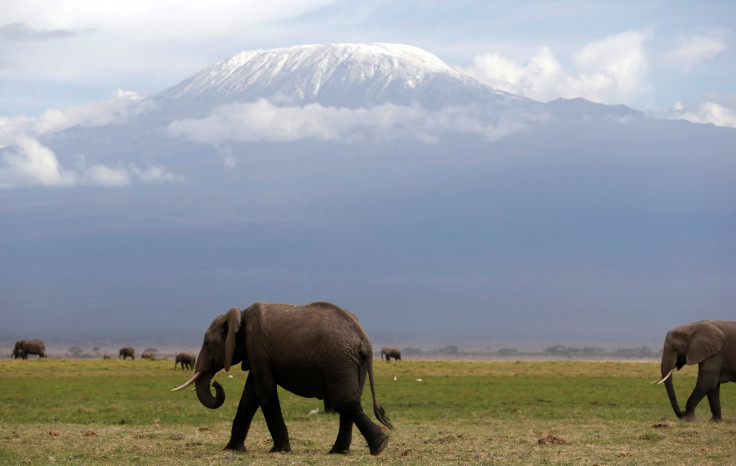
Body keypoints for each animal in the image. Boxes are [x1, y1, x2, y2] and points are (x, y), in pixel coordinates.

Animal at [172, 302, 394, 456]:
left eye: (207, 344)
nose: (216, 383)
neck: (240, 314)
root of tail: (364, 340)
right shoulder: (256, 356)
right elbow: (249, 397)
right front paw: (232, 450)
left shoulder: (258, 350)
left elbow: (264, 393)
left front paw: (279, 450)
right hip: (353, 363)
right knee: (349, 401)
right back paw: (340, 452)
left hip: (339, 362)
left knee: (344, 401)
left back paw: (379, 446)